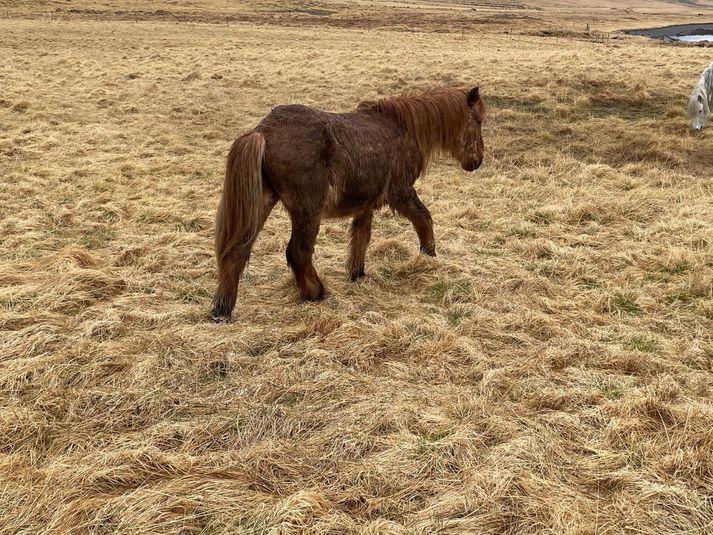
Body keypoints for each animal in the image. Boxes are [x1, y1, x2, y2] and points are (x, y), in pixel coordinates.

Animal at [210, 87, 484, 322]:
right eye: (478, 120)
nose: (477, 161)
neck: (403, 126)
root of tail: (263, 132)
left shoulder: (365, 205)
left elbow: (361, 237)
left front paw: (357, 273)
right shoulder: (402, 193)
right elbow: (424, 218)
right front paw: (429, 256)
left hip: (263, 203)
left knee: (237, 251)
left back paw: (222, 309)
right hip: (307, 212)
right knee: (297, 252)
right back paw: (315, 292)